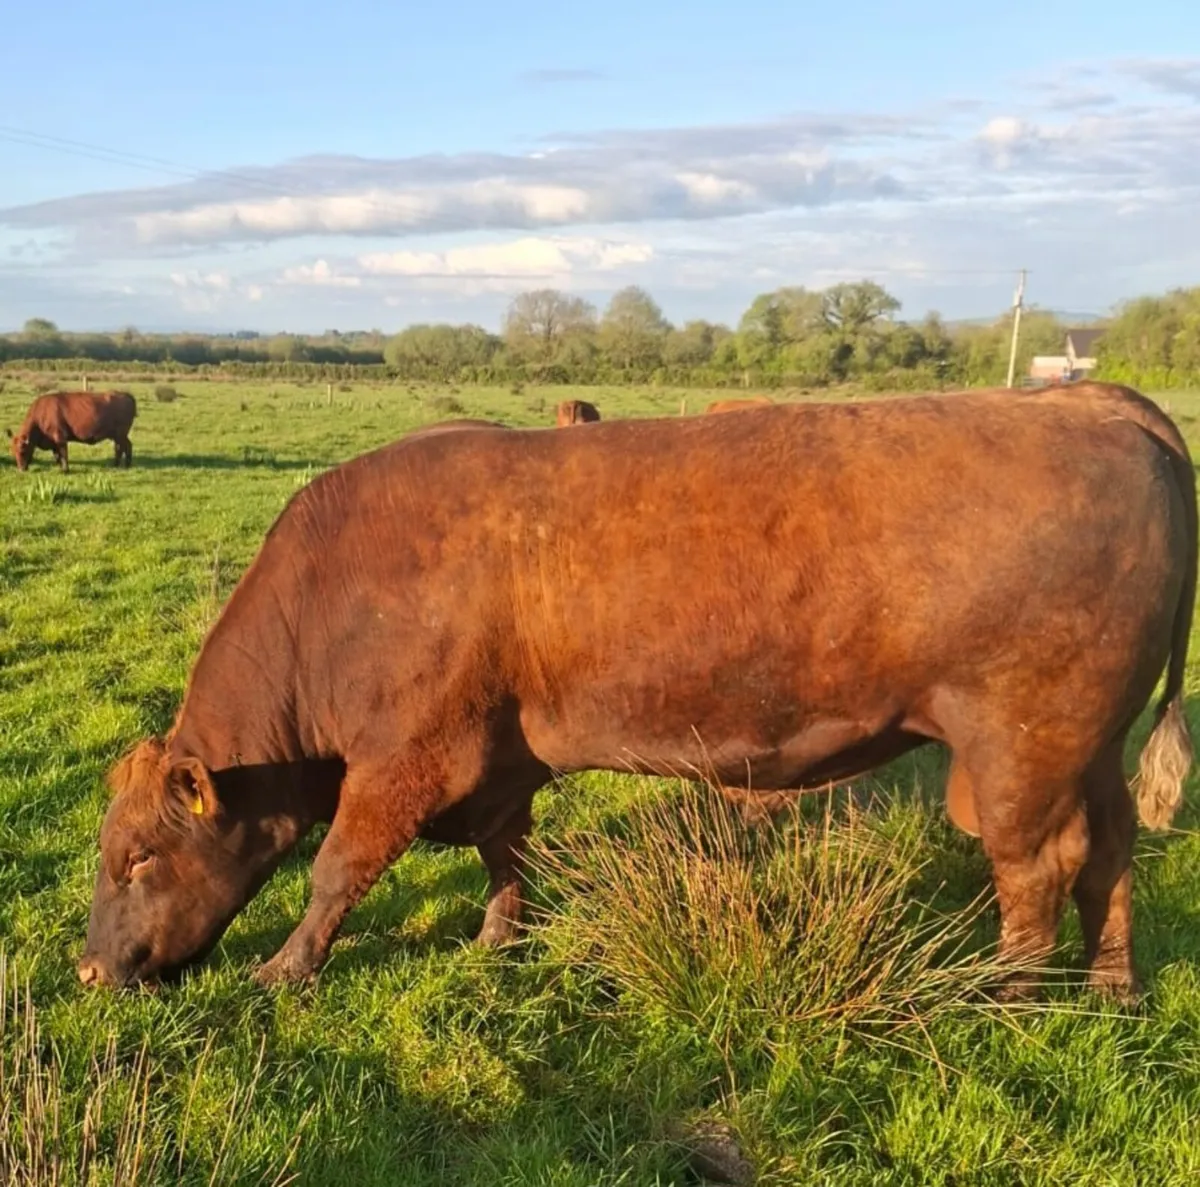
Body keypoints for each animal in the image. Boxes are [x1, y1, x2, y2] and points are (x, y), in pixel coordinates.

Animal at [7, 390, 137, 472]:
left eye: (22, 451)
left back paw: (117, 465)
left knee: (120, 448)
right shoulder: (54, 442)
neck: (41, 415)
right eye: (13, 452)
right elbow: (57, 455)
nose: (21, 469)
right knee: (127, 445)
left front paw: (65, 470)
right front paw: (60, 467)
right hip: (119, 436)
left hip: (120, 435)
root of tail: (126, 395)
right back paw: (127, 464)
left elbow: (63, 454)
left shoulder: (60, 439)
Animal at [78, 382, 1195, 1004]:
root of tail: (1096, 400)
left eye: (138, 855)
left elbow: (334, 872)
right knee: (1112, 851)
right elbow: (507, 852)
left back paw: (1003, 997)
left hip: (1020, 746)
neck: (337, 593)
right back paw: (1115, 987)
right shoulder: (496, 763)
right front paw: (499, 939)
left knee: (1039, 868)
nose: (89, 969)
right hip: (1086, 744)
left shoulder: (406, 762)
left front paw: (285, 968)